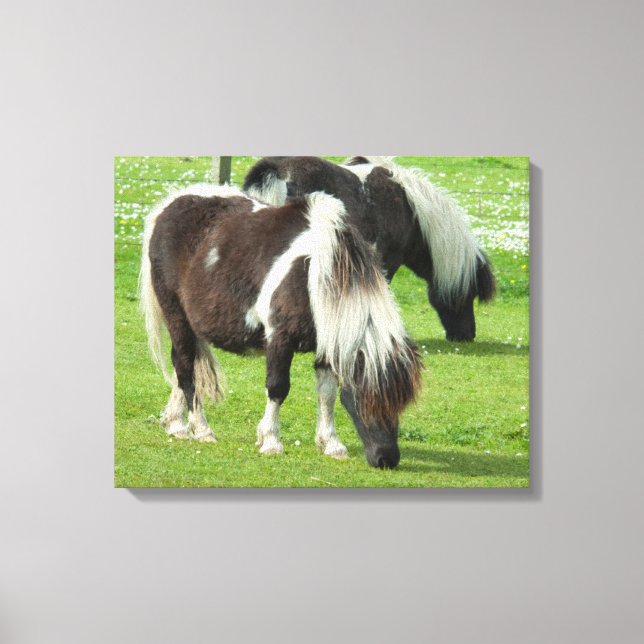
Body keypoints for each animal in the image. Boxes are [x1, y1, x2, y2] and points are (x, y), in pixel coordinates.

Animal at [139, 184, 423, 469]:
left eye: (402, 404)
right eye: (366, 399)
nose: (386, 458)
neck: (314, 274)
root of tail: (169, 206)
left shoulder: (328, 344)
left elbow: (327, 393)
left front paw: (331, 444)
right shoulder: (279, 338)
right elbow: (277, 388)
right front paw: (271, 441)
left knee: (184, 366)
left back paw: (176, 423)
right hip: (176, 315)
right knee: (184, 365)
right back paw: (200, 429)